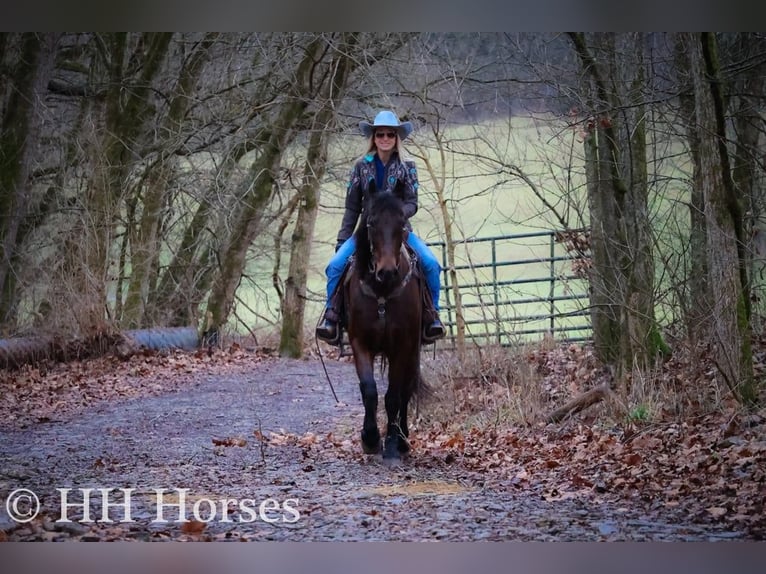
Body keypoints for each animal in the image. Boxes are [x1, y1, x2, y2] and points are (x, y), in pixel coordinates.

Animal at [343, 181, 426, 462]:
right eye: (370, 223)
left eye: (401, 222)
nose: (387, 271)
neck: (382, 292)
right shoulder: (359, 342)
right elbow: (369, 390)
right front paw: (369, 439)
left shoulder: (402, 345)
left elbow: (393, 396)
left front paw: (390, 445)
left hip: (412, 351)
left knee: (405, 391)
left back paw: (403, 440)